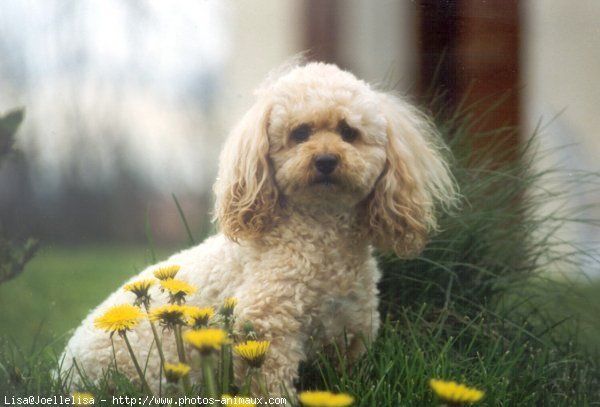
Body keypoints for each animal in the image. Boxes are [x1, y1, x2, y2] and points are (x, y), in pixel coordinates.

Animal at [61, 62, 458, 396]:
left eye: (349, 132)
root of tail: (63, 364)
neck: (320, 233)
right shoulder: (268, 327)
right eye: (300, 133)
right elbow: (271, 385)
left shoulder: (351, 330)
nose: (326, 160)